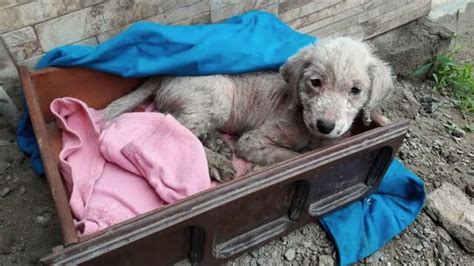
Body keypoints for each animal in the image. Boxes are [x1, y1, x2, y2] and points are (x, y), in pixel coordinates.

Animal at [103, 37, 392, 183]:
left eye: (355, 90)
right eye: (315, 82)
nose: (325, 125)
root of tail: (163, 73)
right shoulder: (253, 140)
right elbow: (289, 156)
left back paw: (218, 144)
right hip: (218, 96)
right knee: (174, 128)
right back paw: (217, 163)